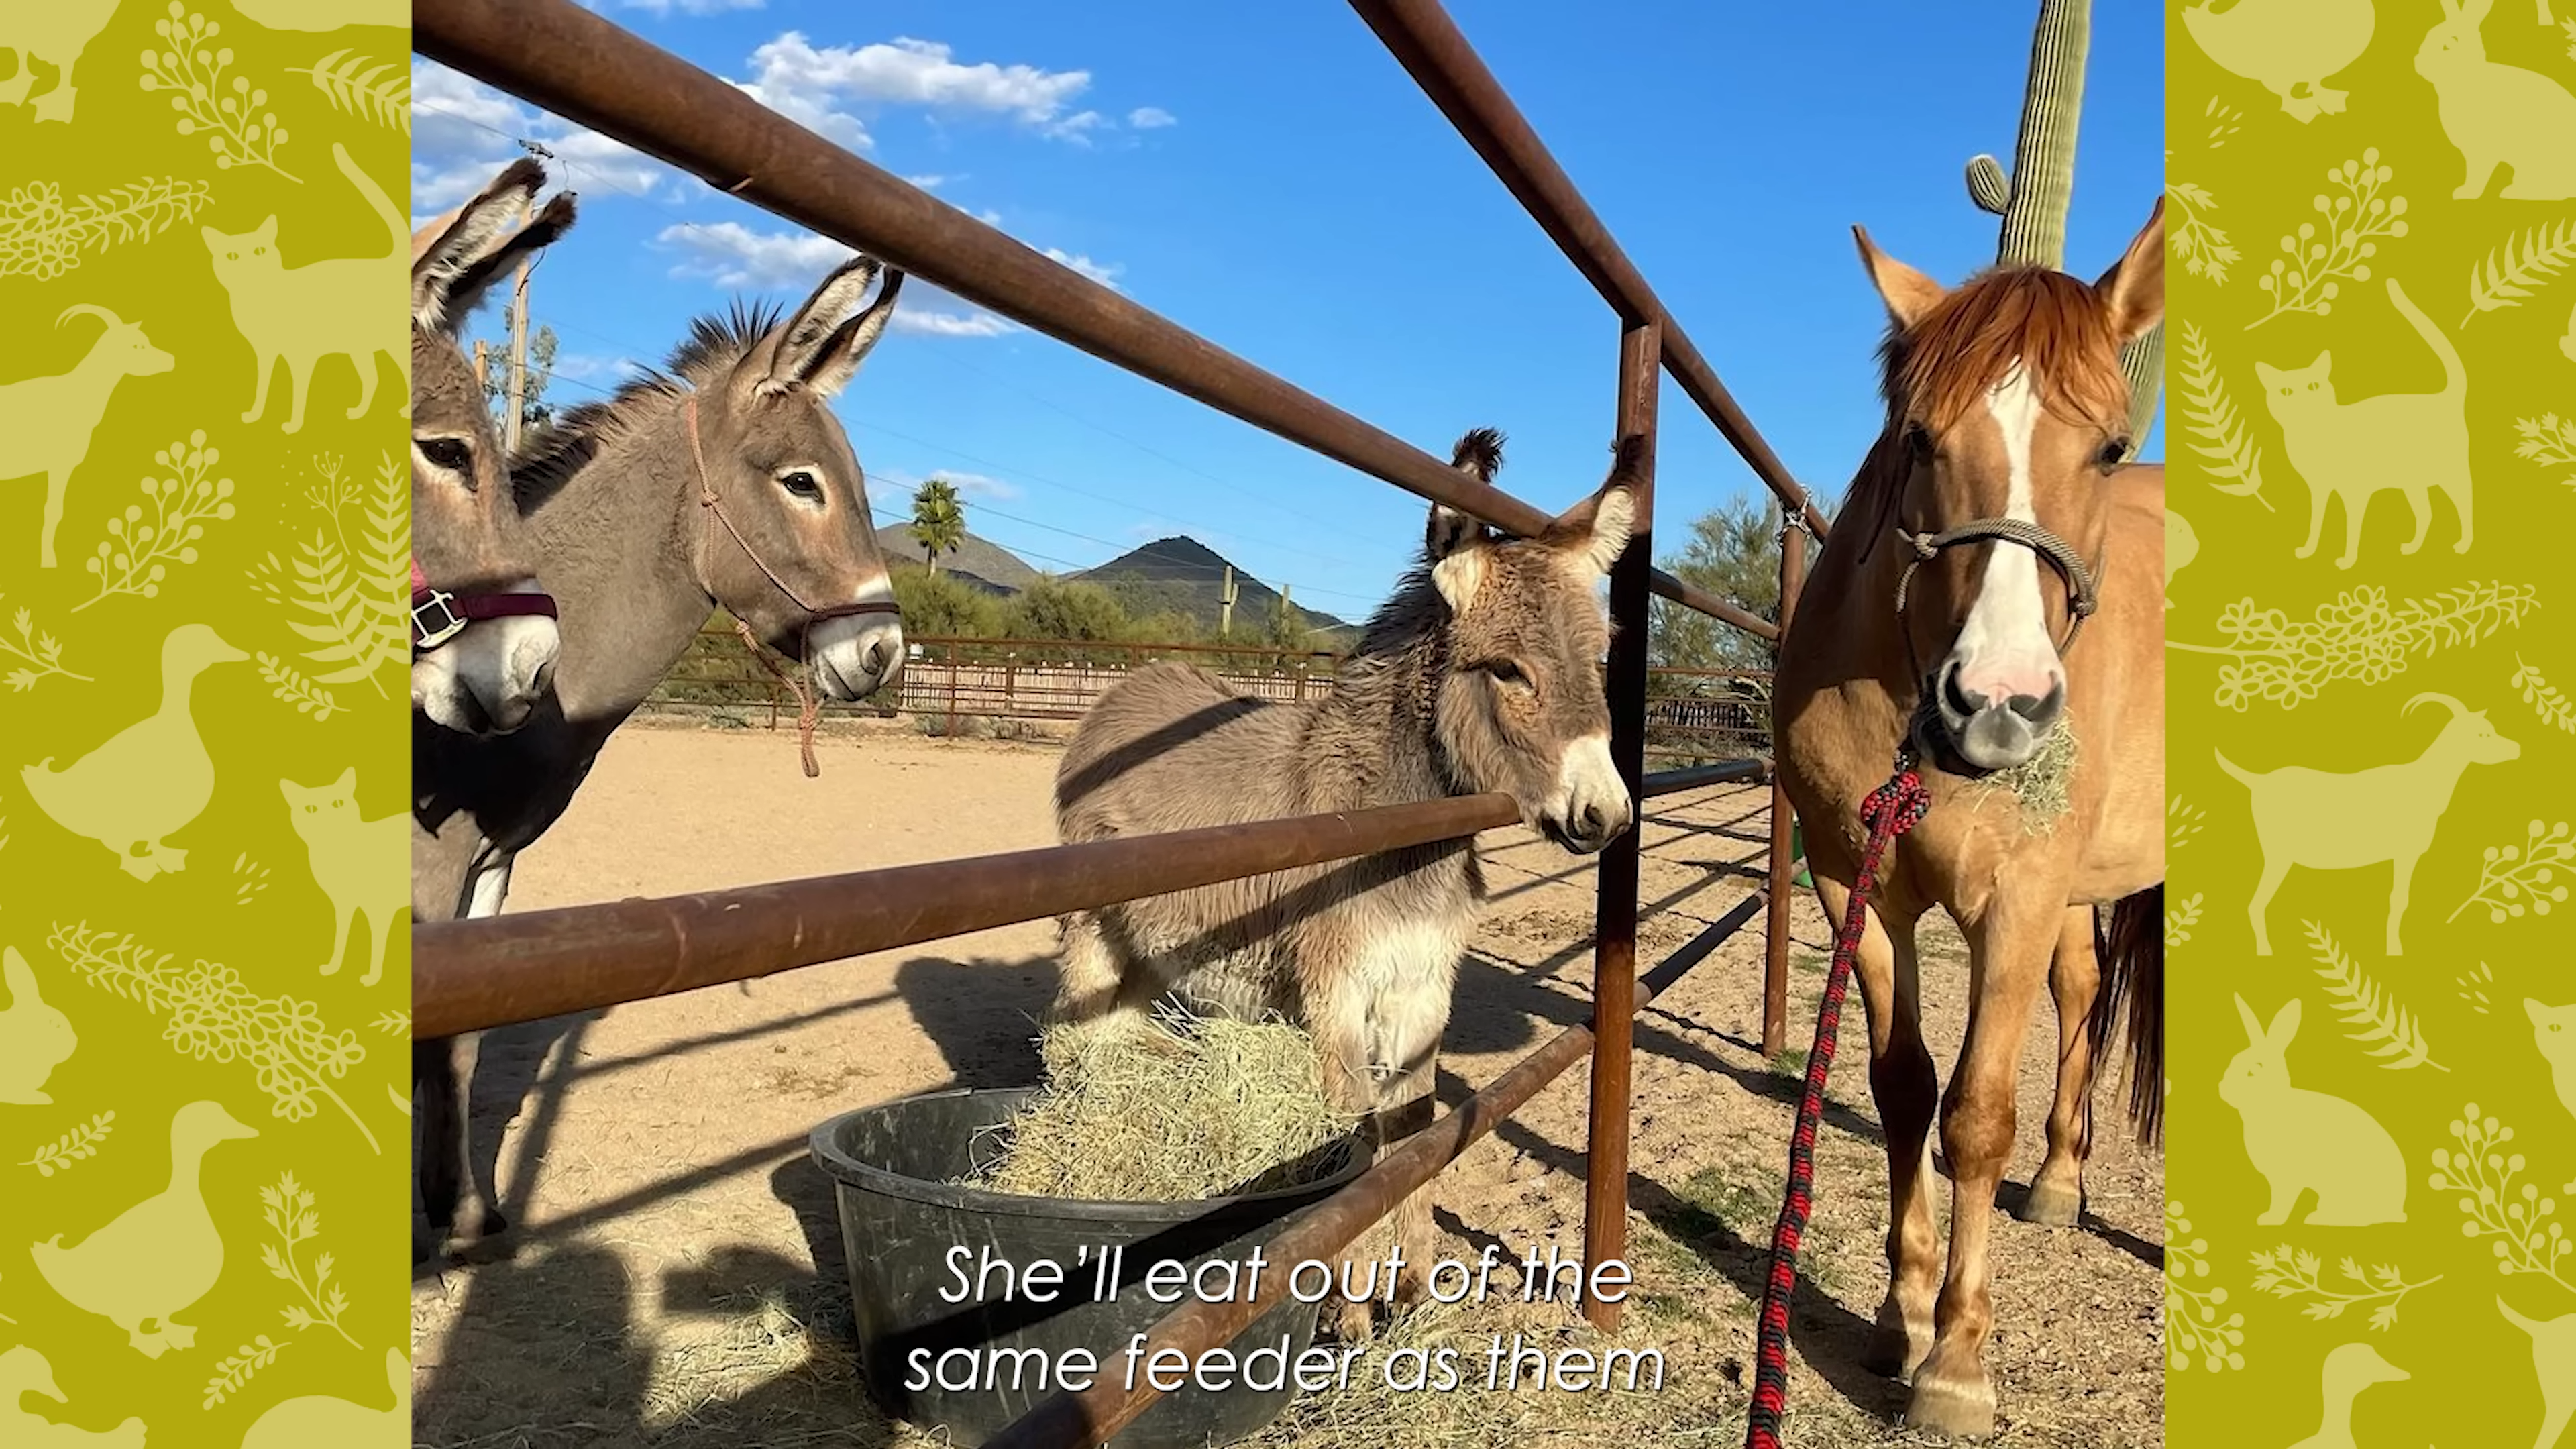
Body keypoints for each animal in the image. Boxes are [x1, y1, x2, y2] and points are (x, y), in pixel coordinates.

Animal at [1762, 199, 2163, 1433]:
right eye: (1917, 440)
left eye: (2110, 447)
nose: (1996, 704)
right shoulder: (1860, 890)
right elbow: (1903, 1094)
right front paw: (1900, 1316)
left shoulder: (2017, 903)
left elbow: (1976, 1115)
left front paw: (1958, 1360)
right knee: (2082, 996)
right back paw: (2062, 1182)